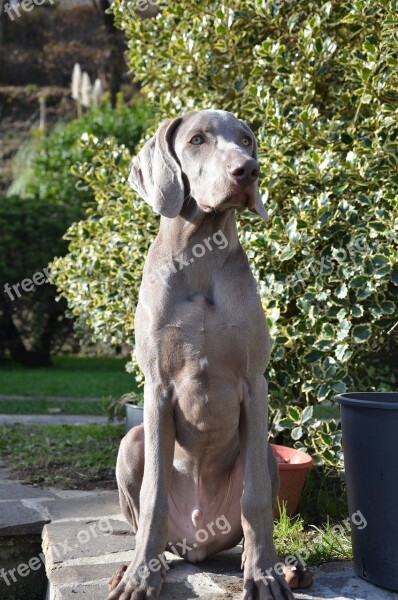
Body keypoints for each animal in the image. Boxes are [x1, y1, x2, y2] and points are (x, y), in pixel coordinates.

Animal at [106, 110, 310, 596]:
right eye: (197, 140)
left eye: (247, 140)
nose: (248, 171)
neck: (201, 253)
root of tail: (197, 544)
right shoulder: (157, 387)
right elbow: (154, 494)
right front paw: (140, 575)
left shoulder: (255, 385)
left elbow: (255, 501)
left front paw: (264, 574)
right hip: (131, 441)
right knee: (151, 522)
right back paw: (142, 564)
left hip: (268, 455)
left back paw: (280, 566)